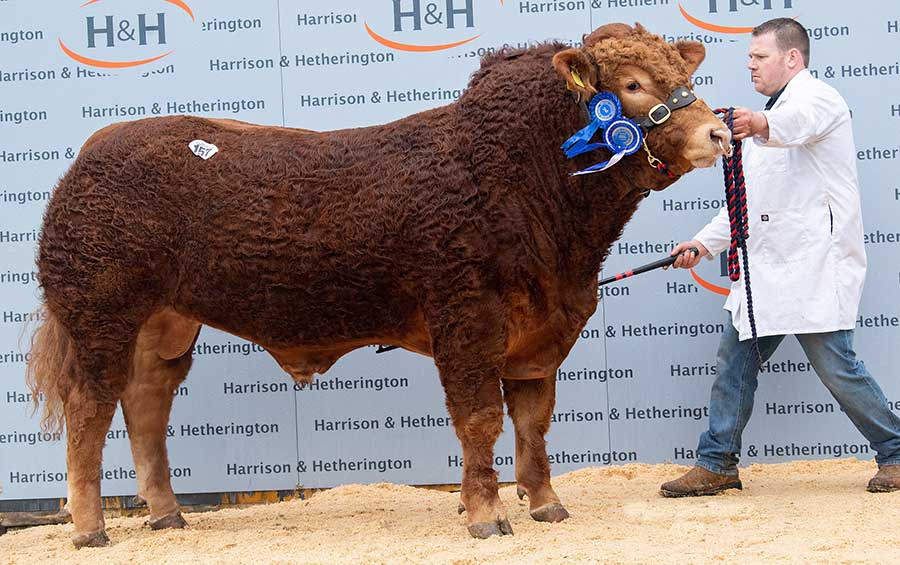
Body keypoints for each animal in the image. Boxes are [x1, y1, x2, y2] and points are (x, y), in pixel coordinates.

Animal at [26, 22, 732, 548]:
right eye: (632, 84)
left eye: (683, 75)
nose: (719, 131)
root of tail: (99, 144)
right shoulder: (466, 318)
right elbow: (479, 419)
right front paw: (486, 516)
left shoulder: (541, 334)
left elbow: (534, 422)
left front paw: (546, 504)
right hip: (99, 314)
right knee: (90, 407)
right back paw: (90, 528)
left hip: (166, 323)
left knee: (146, 404)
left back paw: (167, 514)